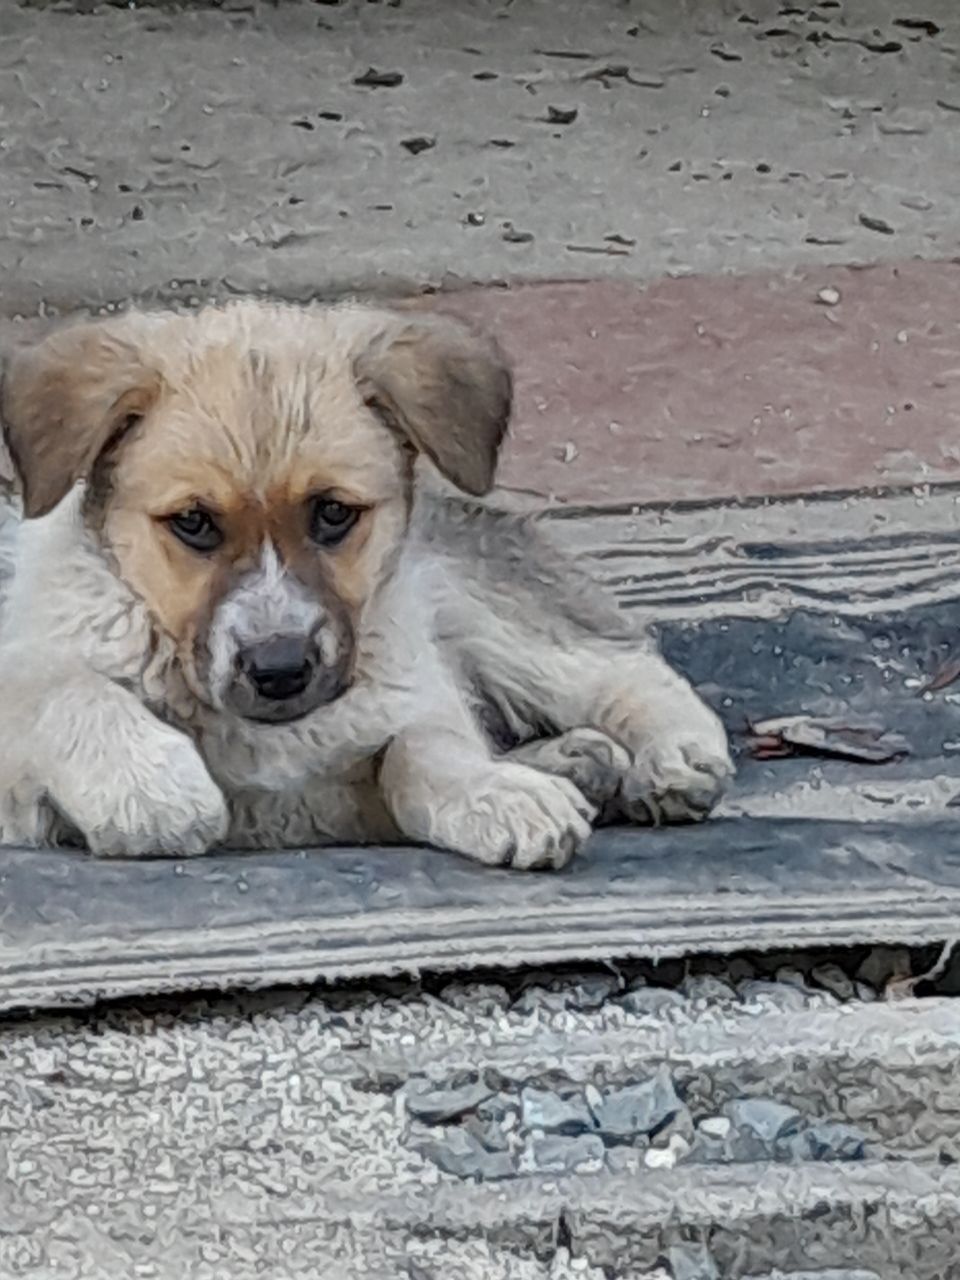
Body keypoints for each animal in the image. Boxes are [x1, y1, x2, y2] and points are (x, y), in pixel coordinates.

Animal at [0, 299, 732, 870]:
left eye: (333, 513)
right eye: (193, 523)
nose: (279, 670)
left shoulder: (397, 710)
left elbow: (425, 748)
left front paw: (495, 794)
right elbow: (65, 690)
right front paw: (151, 787)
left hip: (473, 603)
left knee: (614, 664)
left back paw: (671, 754)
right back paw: (576, 759)